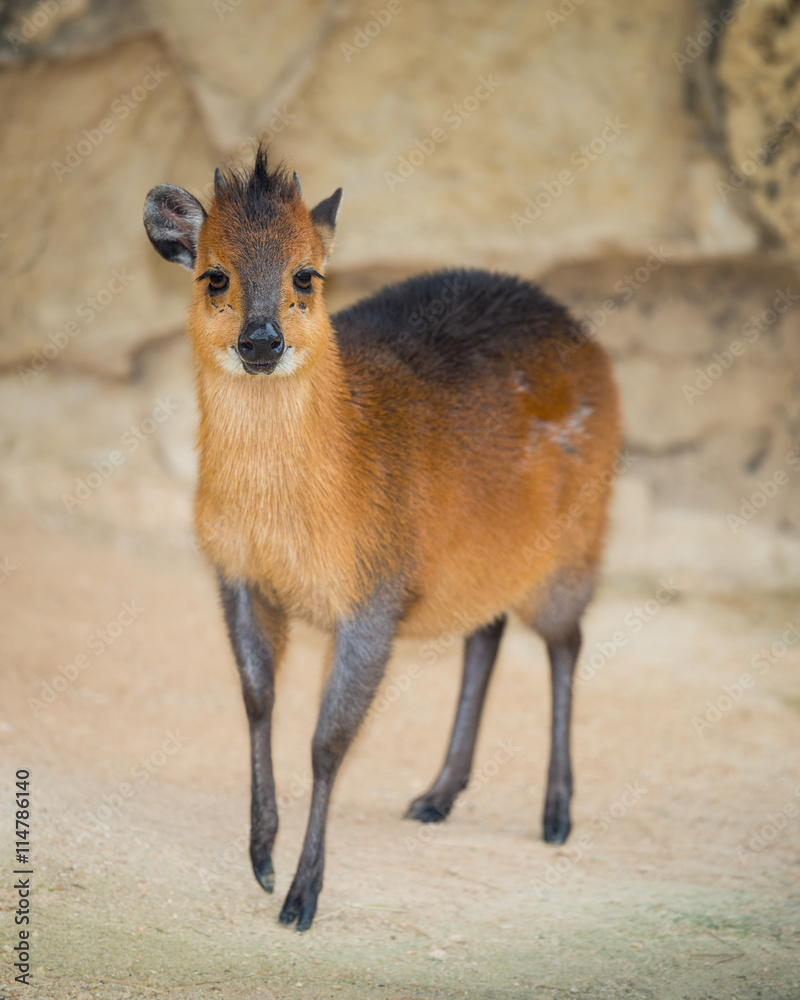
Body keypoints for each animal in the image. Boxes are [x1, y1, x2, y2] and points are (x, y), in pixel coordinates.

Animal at [142, 146, 620, 928]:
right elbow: (258, 700)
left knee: (565, 642)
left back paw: (555, 814)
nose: (261, 340)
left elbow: (327, 742)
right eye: (216, 275)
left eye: (306, 275)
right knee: (487, 633)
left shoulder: (374, 598)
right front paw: (262, 858)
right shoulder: (237, 574)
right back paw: (437, 795)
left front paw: (302, 896)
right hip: (483, 560)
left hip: (573, 546)